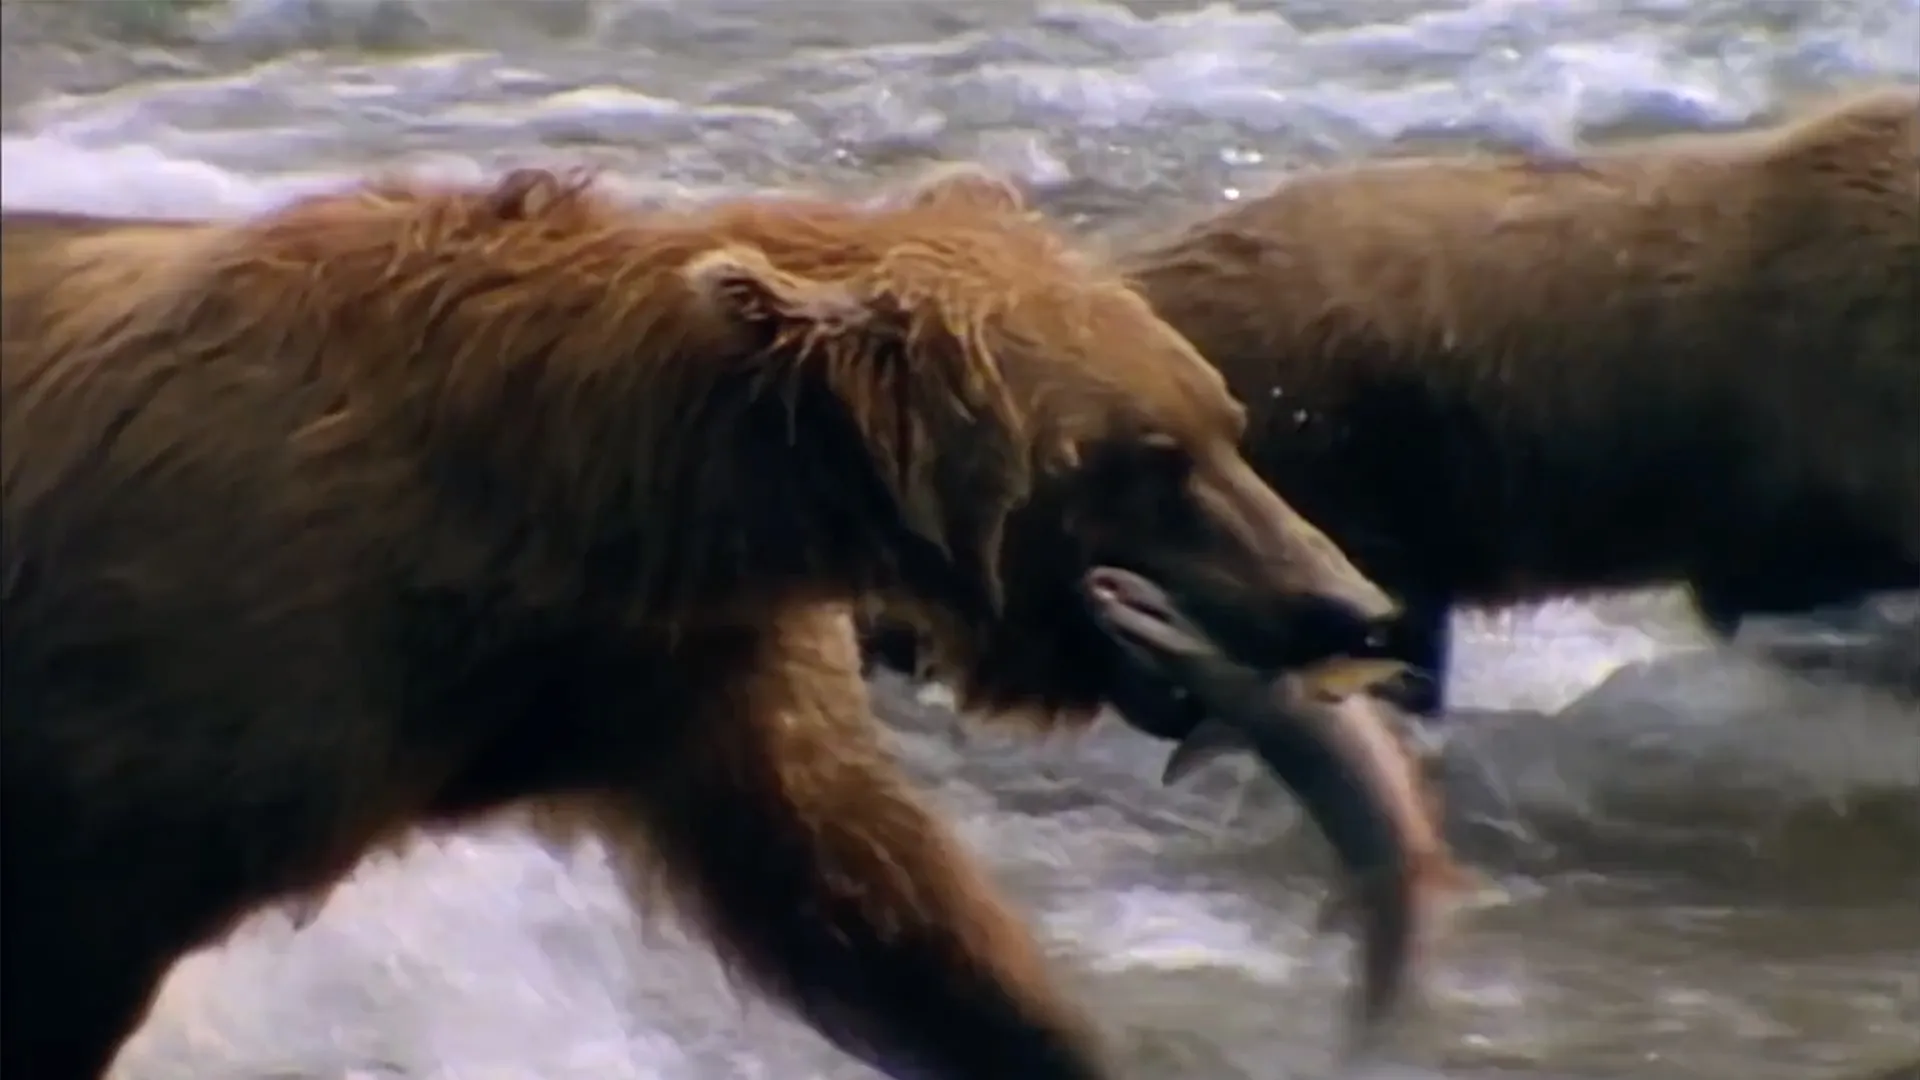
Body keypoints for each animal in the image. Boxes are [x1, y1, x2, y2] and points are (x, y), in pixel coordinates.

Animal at [0, 164, 1405, 1080]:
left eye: (1225, 421)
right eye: (1146, 458)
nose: (1348, 604)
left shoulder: (683, 684)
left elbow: (880, 915)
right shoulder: (194, 691)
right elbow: (72, 950)